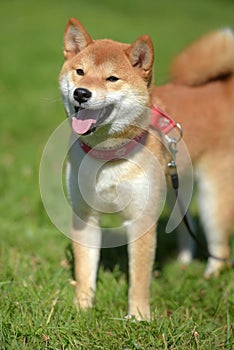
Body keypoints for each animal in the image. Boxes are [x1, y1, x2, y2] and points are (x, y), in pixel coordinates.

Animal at [59, 18, 234, 320]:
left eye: (112, 79)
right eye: (80, 72)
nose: (81, 93)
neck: (109, 155)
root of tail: (224, 88)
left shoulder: (141, 220)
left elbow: (139, 276)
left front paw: (139, 317)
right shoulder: (85, 216)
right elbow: (84, 270)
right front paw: (81, 309)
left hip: (213, 198)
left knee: (219, 247)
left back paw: (209, 277)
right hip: (177, 183)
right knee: (186, 224)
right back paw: (184, 263)